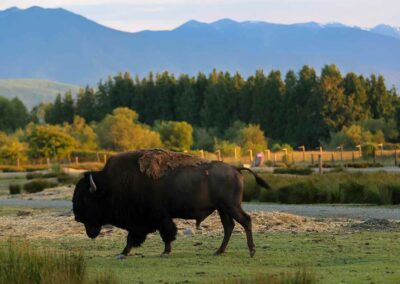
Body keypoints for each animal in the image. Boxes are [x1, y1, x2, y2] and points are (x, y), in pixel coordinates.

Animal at [73, 151, 270, 258]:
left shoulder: (158, 217)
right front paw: (123, 253)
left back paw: (251, 251)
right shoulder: (145, 221)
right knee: (229, 226)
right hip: (223, 209)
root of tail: (235, 169)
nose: (76, 215)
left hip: (230, 206)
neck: (110, 185)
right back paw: (219, 251)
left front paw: (165, 252)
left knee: (245, 221)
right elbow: (135, 238)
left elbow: (164, 234)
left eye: (84, 198)